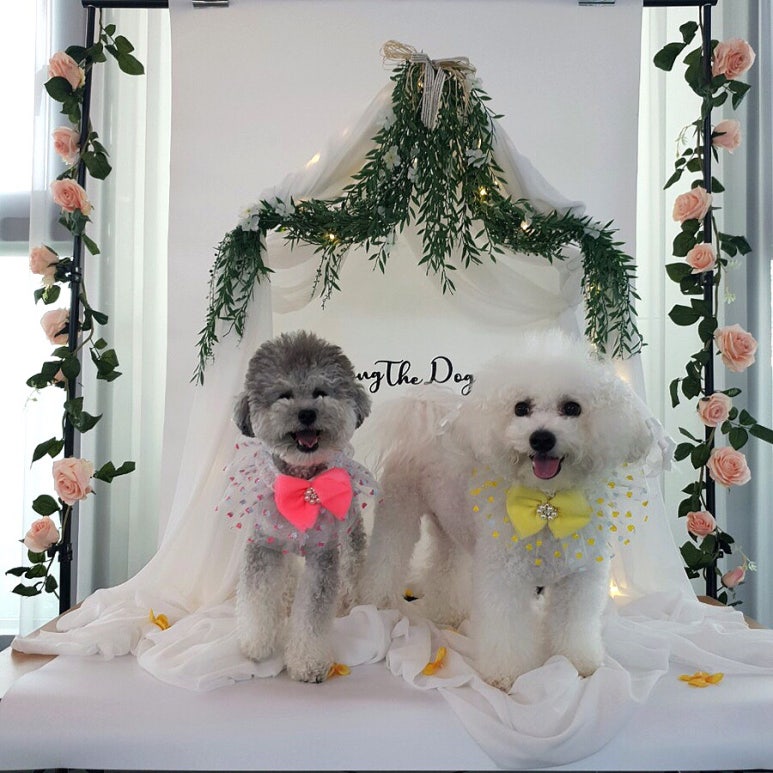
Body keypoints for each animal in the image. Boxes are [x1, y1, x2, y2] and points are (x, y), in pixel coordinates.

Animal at [221, 330, 375, 683]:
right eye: (284, 395)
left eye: (321, 392)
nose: (306, 413)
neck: (303, 483)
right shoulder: (264, 547)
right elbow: (257, 598)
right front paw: (257, 646)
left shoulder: (323, 557)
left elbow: (313, 616)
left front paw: (307, 663)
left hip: (350, 537)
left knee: (351, 571)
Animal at [360, 328, 653, 690]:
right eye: (520, 408)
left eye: (572, 407)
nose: (541, 438)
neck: (547, 505)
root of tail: (424, 425)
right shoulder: (505, 579)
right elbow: (508, 631)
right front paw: (508, 675)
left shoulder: (579, 580)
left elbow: (574, 626)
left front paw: (577, 663)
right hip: (398, 515)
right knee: (386, 557)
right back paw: (373, 607)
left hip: (450, 528)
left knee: (445, 565)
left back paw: (448, 614)